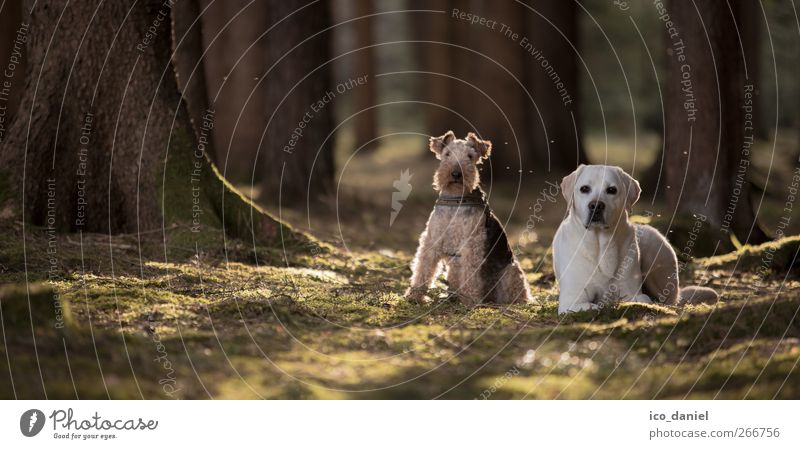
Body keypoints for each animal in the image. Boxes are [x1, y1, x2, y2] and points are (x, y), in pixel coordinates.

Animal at [406, 130, 532, 304]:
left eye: (470, 156)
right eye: (447, 154)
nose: (456, 174)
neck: (456, 199)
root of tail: (489, 296)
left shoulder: (471, 243)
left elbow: (470, 273)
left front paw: (469, 299)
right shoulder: (432, 238)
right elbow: (423, 268)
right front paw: (415, 296)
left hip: (510, 272)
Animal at [552, 163, 716, 314]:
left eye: (611, 190)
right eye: (584, 189)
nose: (596, 205)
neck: (601, 244)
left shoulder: (632, 292)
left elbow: (642, 299)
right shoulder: (571, 301)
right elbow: (592, 306)